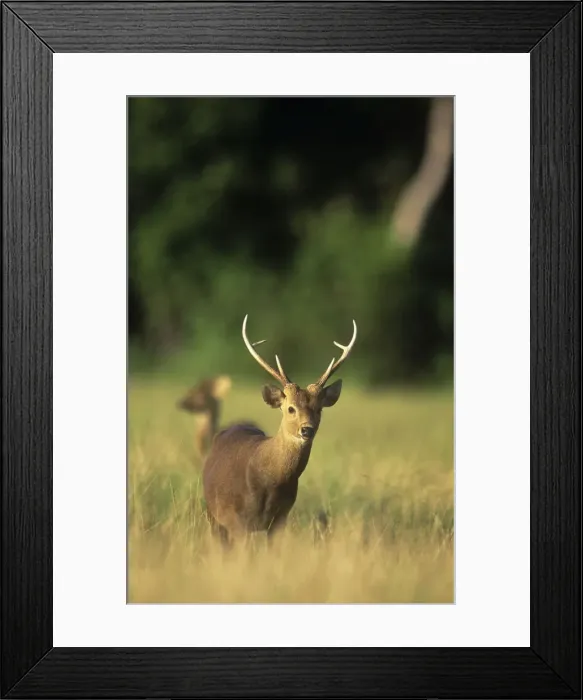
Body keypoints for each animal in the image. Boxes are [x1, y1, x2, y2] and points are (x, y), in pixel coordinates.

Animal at [202, 314, 357, 547]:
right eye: (290, 408)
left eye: (319, 409)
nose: (307, 430)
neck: (269, 481)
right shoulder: (238, 519)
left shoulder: (280, 518)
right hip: (213, 515)